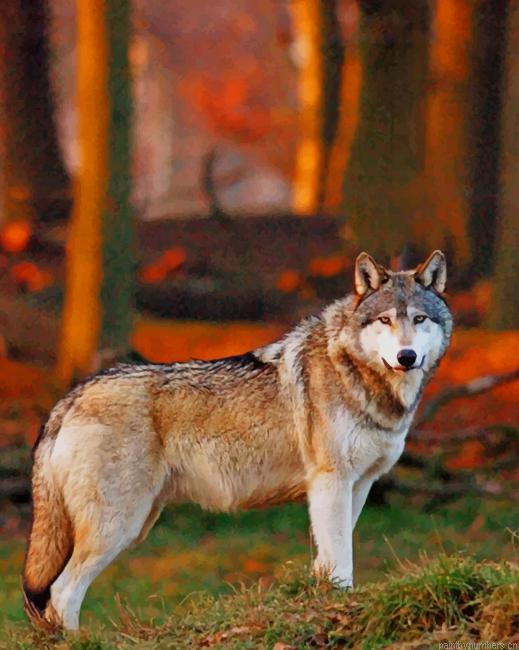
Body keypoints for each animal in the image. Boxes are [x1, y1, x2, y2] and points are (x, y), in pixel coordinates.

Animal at [23, 250, 452, 630]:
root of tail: (70, 397)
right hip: (117, 528)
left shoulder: (358, 485)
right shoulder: (330, 482)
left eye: (419, 319)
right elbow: (341, 559)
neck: (355, 372)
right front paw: (339, 606)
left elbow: (330, 556)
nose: (407, 356)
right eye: (385, 320)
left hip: (135, 524)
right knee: (62, 593)